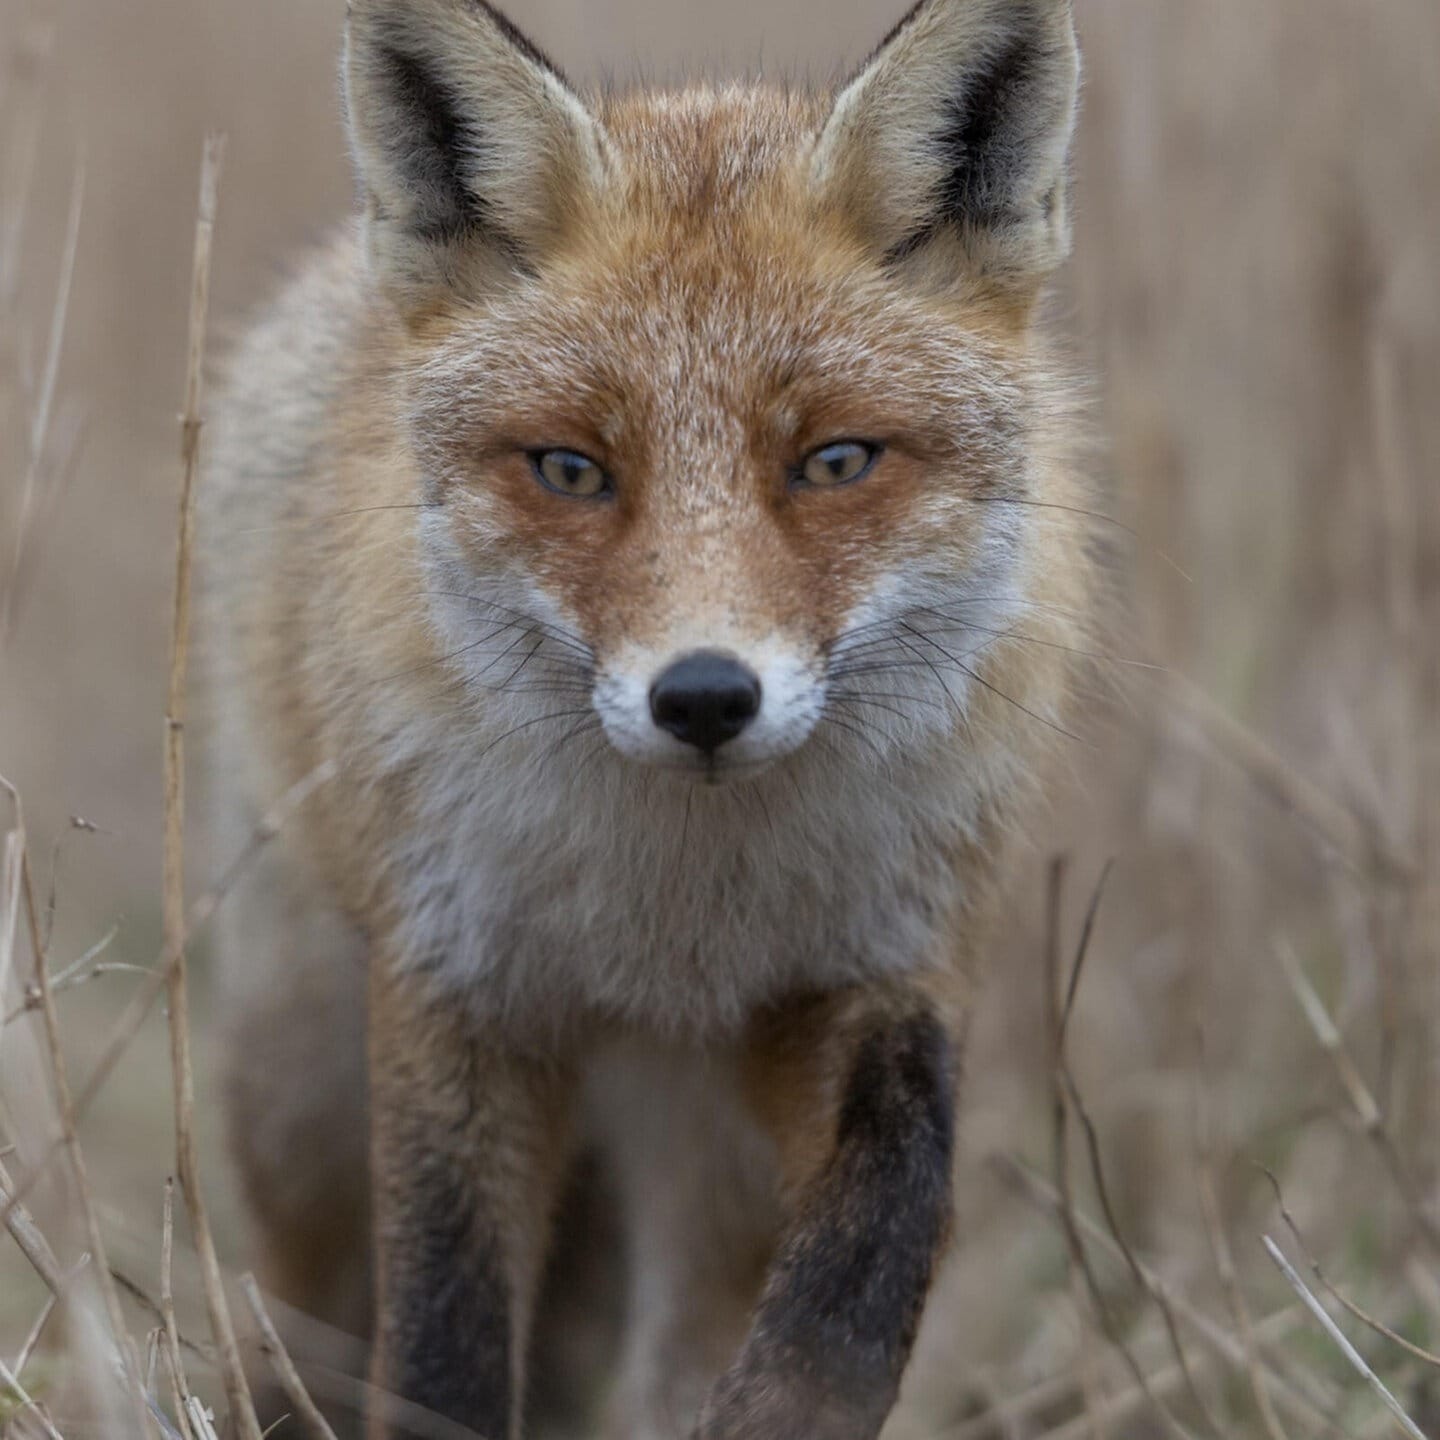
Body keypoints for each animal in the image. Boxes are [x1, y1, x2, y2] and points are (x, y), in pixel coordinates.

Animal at [201, 0, 1091, 1437]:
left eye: (836, 461)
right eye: (572, 469)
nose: (706, 696)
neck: (677, 914)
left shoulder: (874, 971)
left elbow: (878, 1234)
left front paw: (786, 1407)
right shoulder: (461, 987)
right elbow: (444, 1330)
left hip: (698, 1156)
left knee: (672, 1345)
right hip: (299, 1101)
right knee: (304, 1313)